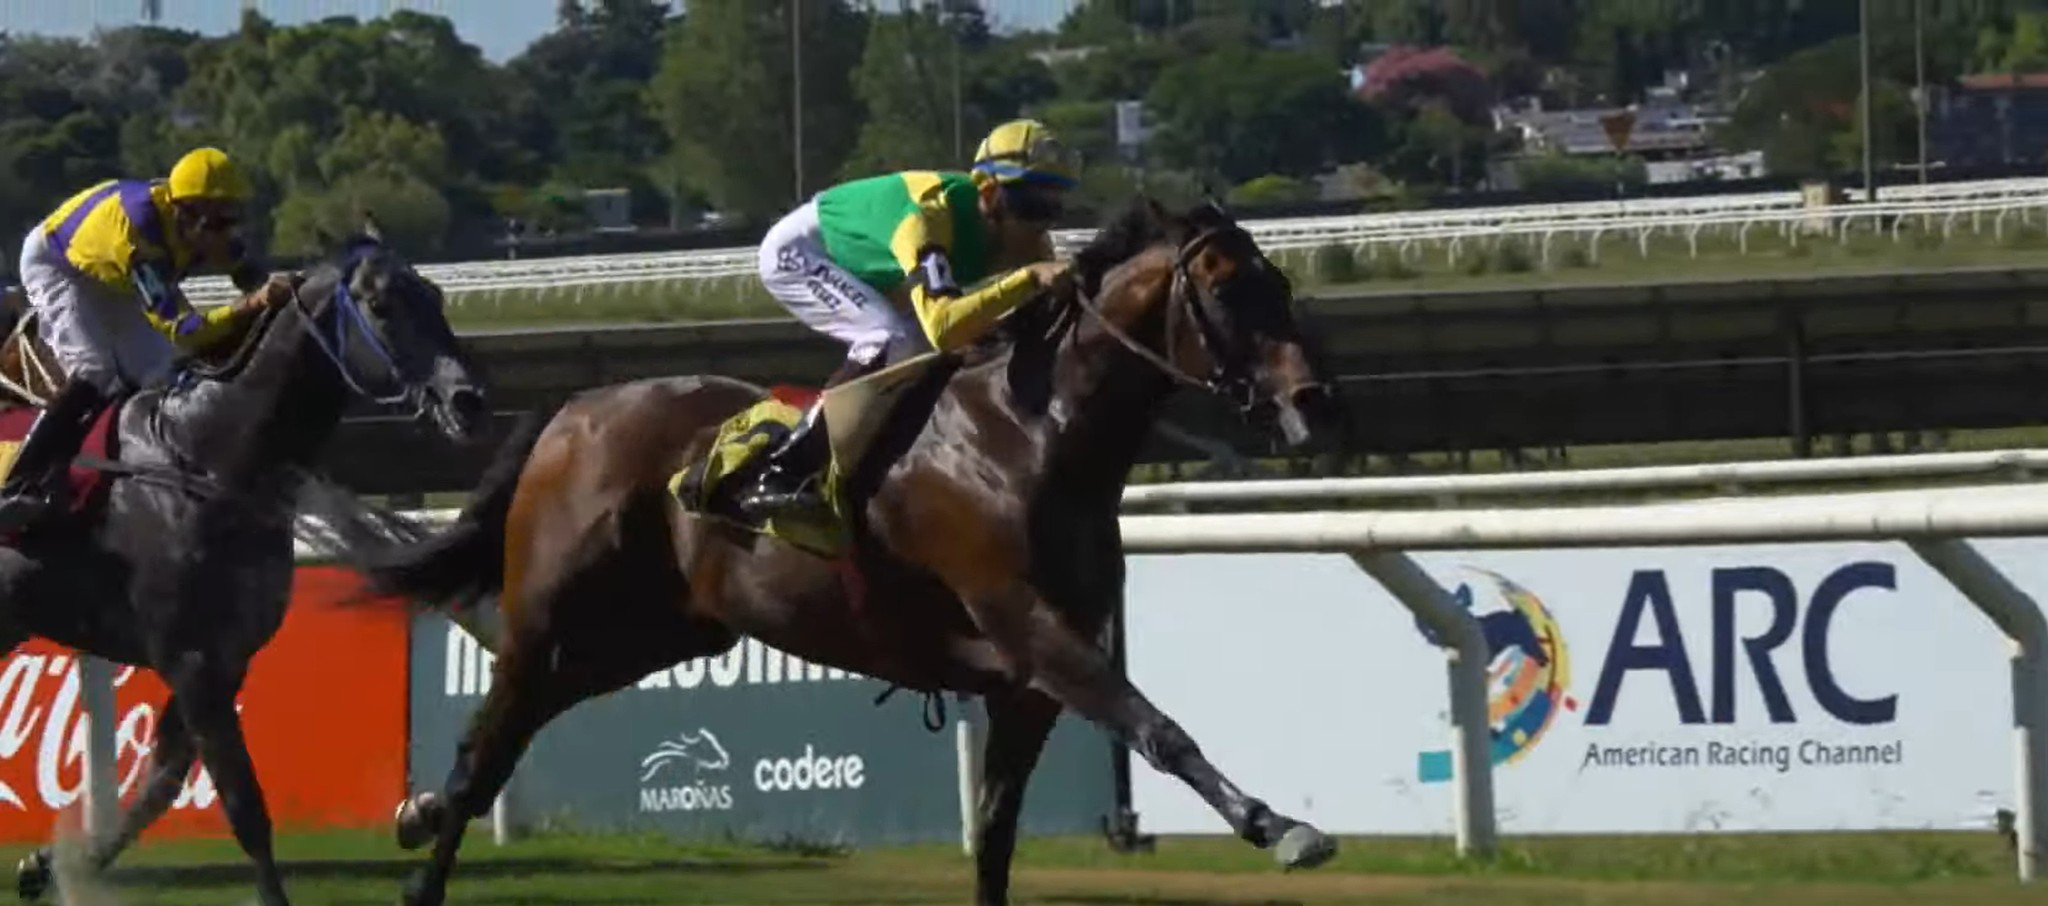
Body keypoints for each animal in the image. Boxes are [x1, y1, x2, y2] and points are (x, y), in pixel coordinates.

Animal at [0, 227, 489, 906]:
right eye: (382, 305)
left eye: (437, 296)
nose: (467, 401)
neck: (207, 455)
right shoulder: (192, 660)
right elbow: (243, 804)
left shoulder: (227, 658)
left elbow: (162, 782)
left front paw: (47, 866)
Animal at [342, 196, 1347, 906]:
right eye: (1227, 290)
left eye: (1283, 286)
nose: (1313, 402)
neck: (1032, 435)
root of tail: (573, 409)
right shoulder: (1035, 633)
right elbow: (1161, 730)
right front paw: (1282, 828)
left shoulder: (1026, 687)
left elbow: (996, 835)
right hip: (550, 616)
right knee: (492, 742)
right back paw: (426, 854)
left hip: (654, 634)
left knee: (510, 732)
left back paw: (420, 813)